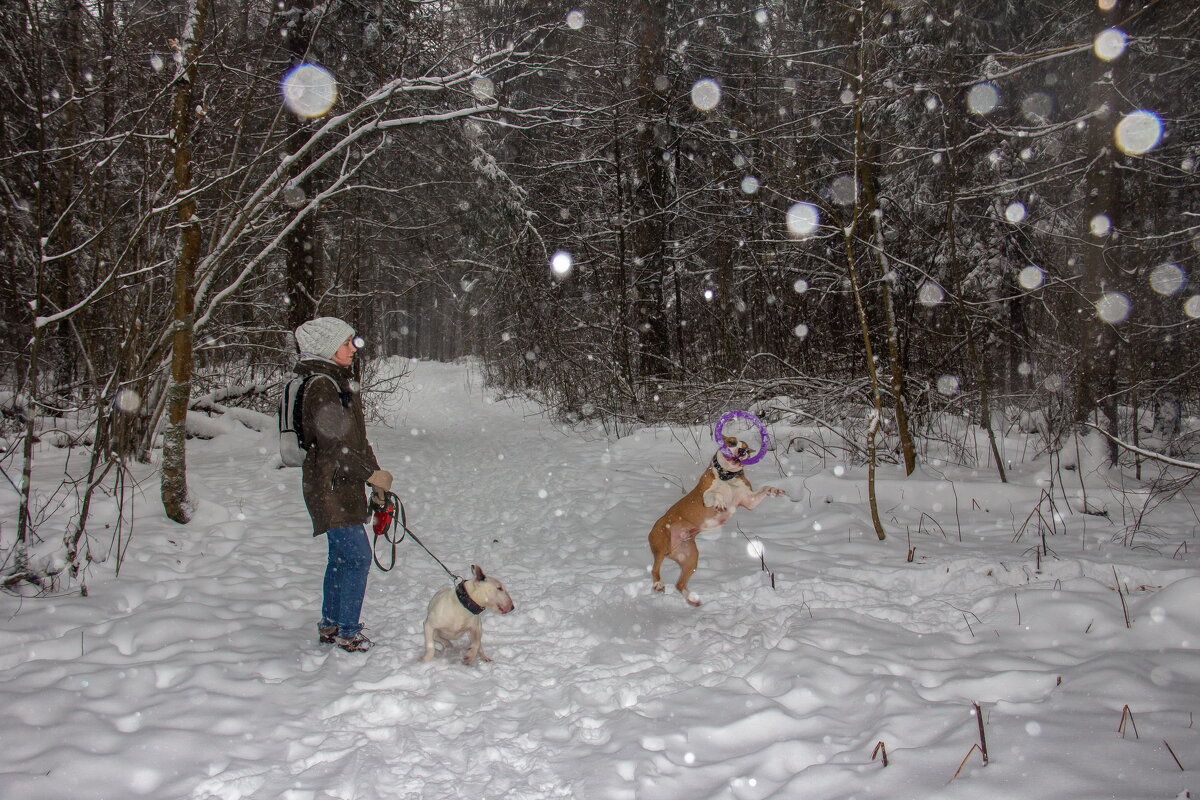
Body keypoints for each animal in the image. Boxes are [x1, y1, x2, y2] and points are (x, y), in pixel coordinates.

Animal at [648, 438, 787, 606]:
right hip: (661, 543)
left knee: (679, 584)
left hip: (690, 559)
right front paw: (720, 503)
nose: (742, 451)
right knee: (655, 568)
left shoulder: (749, 501)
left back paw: (692, 599)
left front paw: (775, 490)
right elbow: (715, 493)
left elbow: (765, 488)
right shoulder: (706, 497)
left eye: (746, 449)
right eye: (732, 442)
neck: (728, 477)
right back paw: (658, 584)